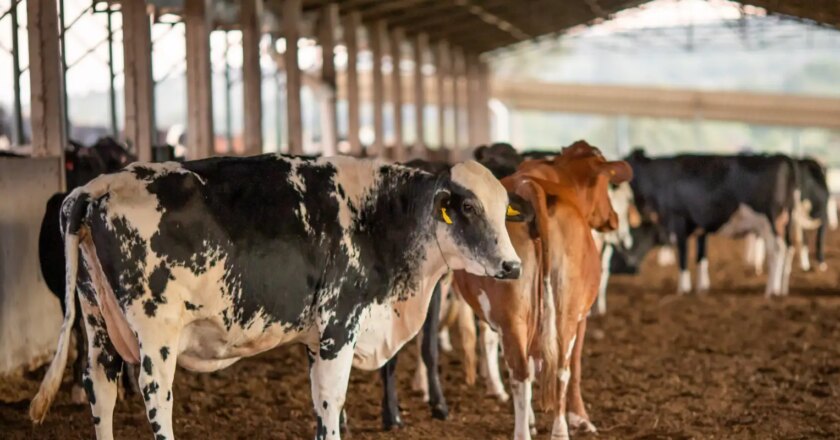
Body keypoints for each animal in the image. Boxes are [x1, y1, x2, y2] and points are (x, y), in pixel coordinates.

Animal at [29, 154, 528, 440]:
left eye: (504, 209)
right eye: (468, 207)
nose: (513, 266)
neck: (380, 215)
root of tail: (95, 187)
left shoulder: (315, 338)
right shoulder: (338, 325)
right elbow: (331, 402)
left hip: (97, 324)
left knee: (101, 391)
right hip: (156, 336)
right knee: (157, 399)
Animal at [453, 141, 633, 440]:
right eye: (606, 184)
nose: (614, 218)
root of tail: (530, 187)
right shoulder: (581, 316)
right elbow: (576, 367)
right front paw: (580, 418)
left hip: (519, 316)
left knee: (534, 370)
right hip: (561, 313)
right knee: (546, 371)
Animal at [624, 150, 797, 296]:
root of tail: (780, 157)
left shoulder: (678, 220)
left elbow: (683, 255)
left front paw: (683, 289)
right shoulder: (701, 227)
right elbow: (701, 256)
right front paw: (702, 288)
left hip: (771, 220)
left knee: (777, 250)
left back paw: (771, 290)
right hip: (786, 220)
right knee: (789, 248)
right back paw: (783, 289)